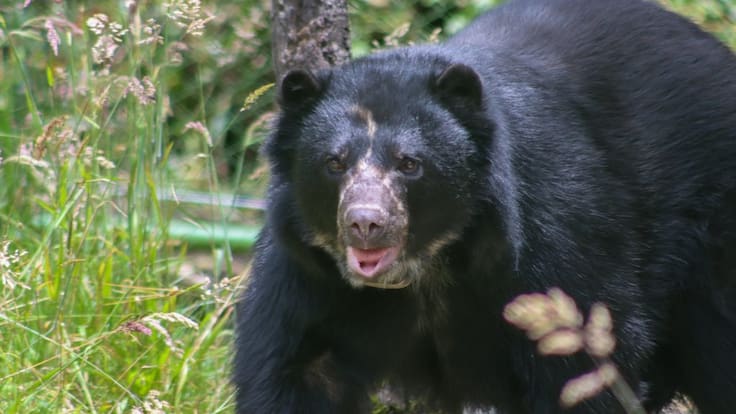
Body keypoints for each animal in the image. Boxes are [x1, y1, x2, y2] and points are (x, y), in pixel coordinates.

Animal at [233, 0, 736, 412]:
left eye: (410, 164)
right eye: (334, 163)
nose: (365, 224)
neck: (428, 263)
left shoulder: (555, 233)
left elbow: (578, 364)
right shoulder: (308, 271)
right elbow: (293, 370)